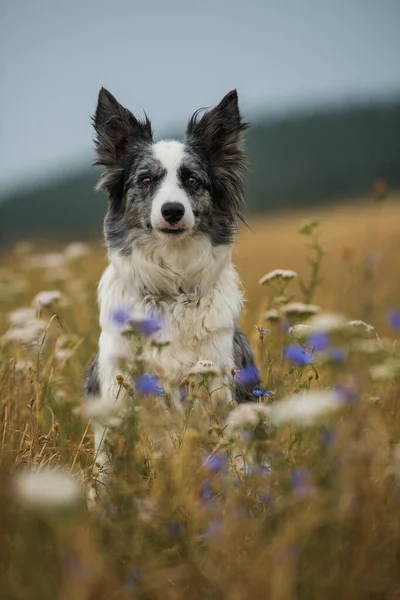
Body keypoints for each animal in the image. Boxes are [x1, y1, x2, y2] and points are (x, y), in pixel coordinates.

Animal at [85, 88, 260, 492]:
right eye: (146, 180)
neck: (172, 292)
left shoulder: (218, 383)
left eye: (193, 181)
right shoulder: (118, 389)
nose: (173, 211)